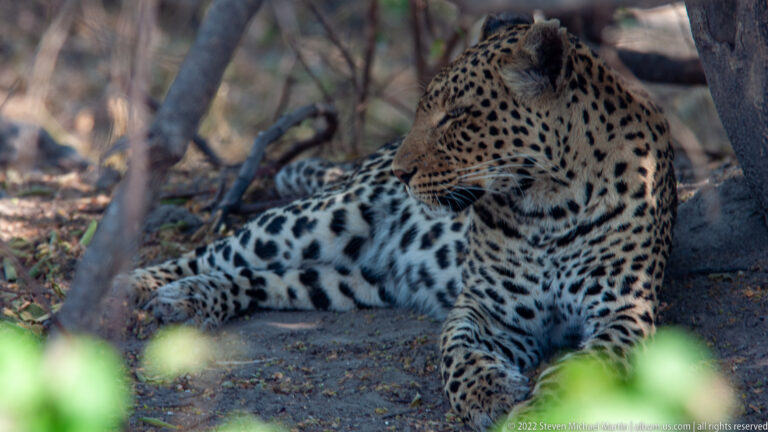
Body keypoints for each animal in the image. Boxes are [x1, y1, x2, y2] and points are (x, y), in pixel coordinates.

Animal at [125, 14, 675, 431]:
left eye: (455, 116)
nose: (401, 172)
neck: (548, 206)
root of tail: (365, 160)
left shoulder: (626, 311)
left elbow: (588, 366)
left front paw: (542, 409)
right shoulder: (485, 307)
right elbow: (456, 351)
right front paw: (488, 393)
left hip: (353, 280)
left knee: (265, 279)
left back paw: (196, 296)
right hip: (321, 218)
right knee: (214, 251)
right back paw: (141, 286)